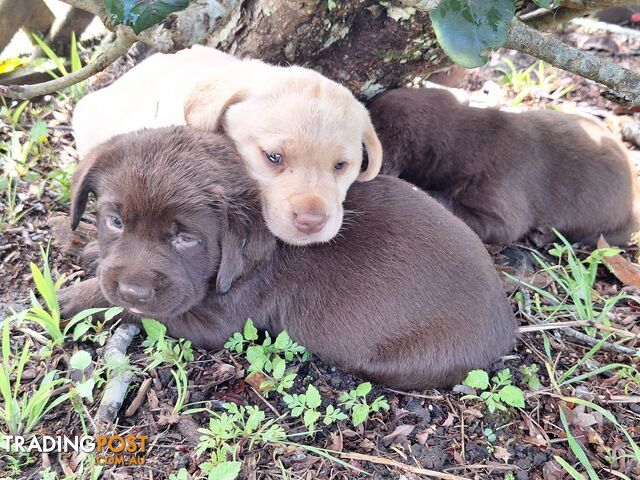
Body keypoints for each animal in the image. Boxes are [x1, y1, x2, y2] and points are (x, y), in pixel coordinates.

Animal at [58, 125, 516, 388]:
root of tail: (506, 326)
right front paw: (91, 253)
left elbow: (136, 310)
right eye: (115, 221)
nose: (133, 289)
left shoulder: (213, 320)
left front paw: (72, 299)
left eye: (187, 239)